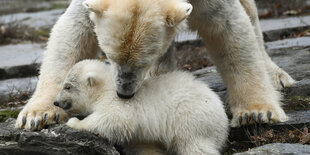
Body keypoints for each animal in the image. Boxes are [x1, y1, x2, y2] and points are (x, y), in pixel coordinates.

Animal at [16, 0, 294, 130]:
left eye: (142, 61)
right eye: (108, 56)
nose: (123, 94)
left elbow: (230, 30)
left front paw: (256, 113)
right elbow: (73, 33)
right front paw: (39, 114)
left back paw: (276, 75)